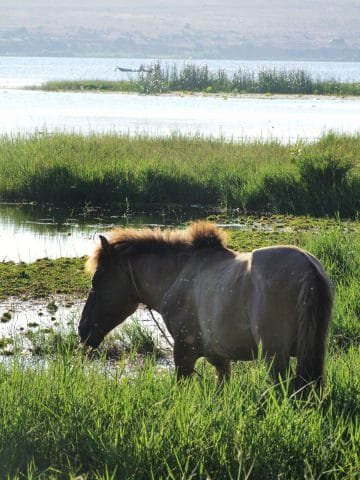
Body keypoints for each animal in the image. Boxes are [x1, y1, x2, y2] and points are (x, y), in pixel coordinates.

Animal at [79, 223, 334, 392]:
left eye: (98, 280)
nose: (82, 331)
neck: (178, 274)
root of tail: (308, 269)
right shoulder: (219, 358)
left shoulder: (184, 352)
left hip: (275, 357)